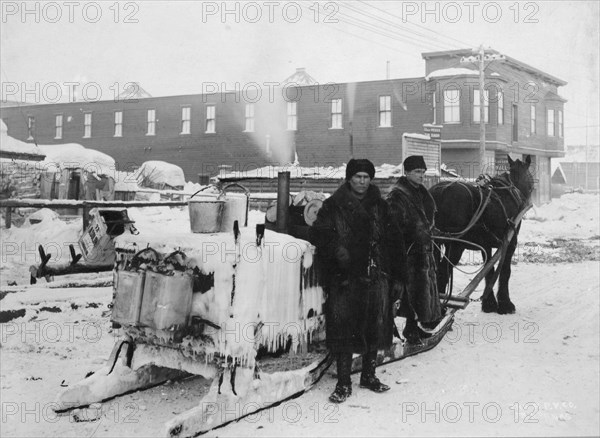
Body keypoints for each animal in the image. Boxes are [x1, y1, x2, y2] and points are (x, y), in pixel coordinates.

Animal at [432, 156, 536, 314]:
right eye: (530, 178)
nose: (529, 198)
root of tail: (440, 192)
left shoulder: (486, 245)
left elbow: (489, 272)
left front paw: (489, 303)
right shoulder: (510, 243)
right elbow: (504, 272)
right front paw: (505, 304)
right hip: (455, 246)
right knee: (443, 271)